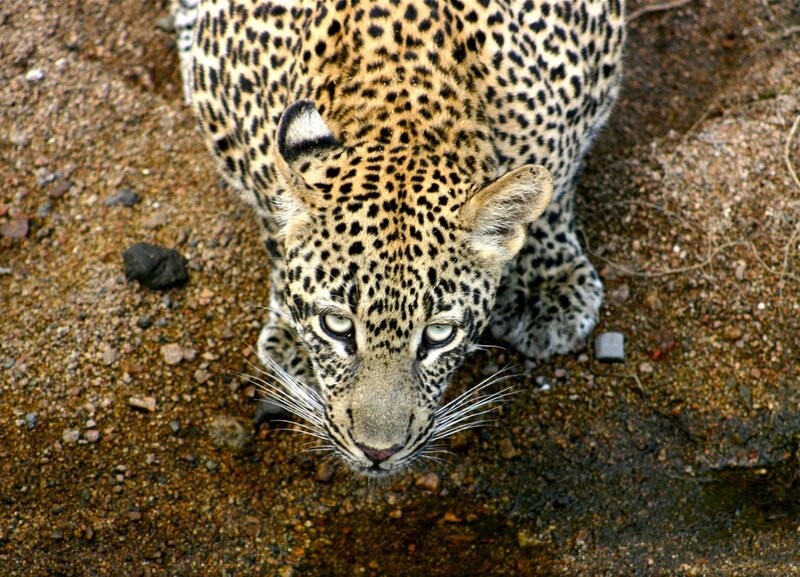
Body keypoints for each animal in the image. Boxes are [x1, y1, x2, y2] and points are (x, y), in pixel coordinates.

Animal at [170, 0, 625, 476]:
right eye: (336, 326)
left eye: (439, 335)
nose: (377, 453)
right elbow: (270, 218)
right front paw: (294, 343)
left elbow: (554, 189)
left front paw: (548, 285)